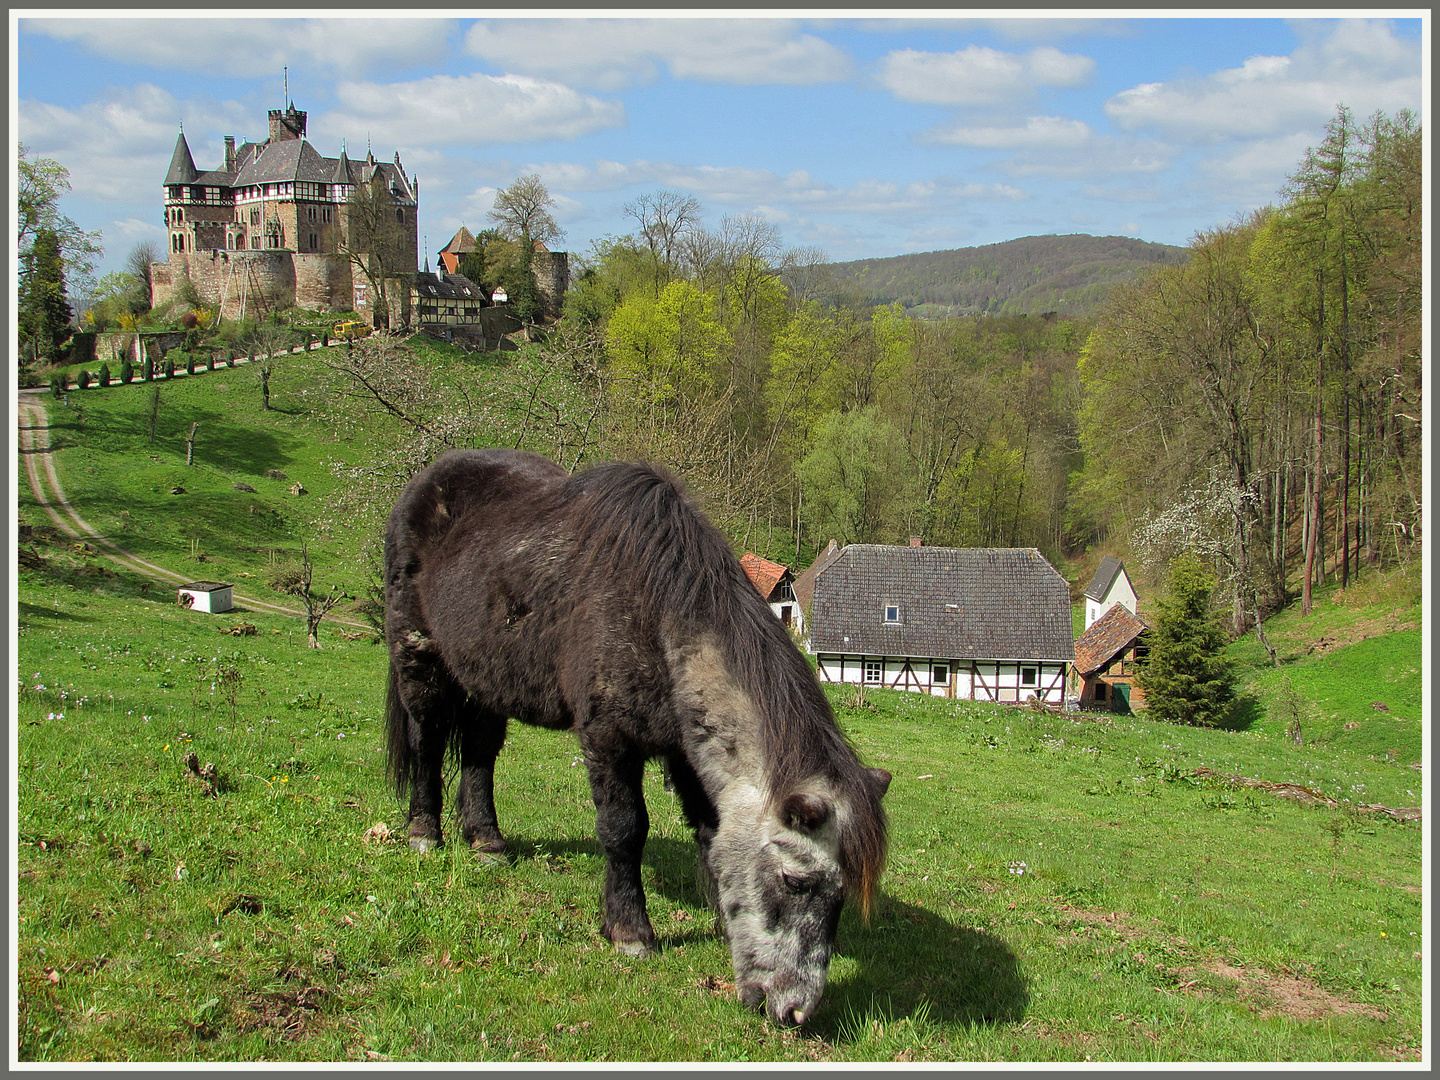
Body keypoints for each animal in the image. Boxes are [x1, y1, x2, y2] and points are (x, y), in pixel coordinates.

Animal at [388, 449, 892, 1031]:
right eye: (793, 881)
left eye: (841, 896)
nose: (793, 1010)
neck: (654, 609)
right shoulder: (609, 740)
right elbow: (624, 830)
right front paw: (630, 932)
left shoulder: (686, 752)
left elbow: (709, 832)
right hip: (417, 654)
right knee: (426, 740)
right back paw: (423, 831)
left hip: (487, 676)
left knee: (479, 753)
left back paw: (487, 841)